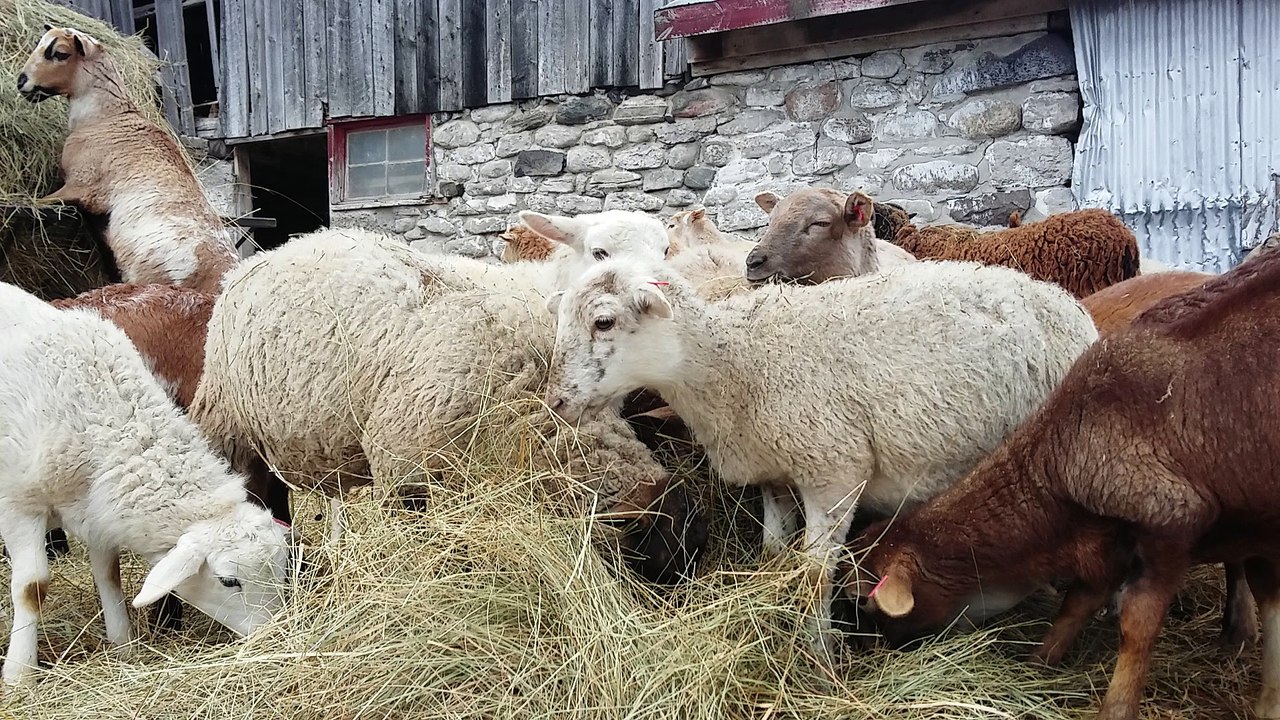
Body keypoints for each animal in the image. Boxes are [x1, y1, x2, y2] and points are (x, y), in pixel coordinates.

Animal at [0, 281, 292, 686]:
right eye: (229, 581)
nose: (273, 636)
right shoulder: (18, 506)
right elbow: (32, 589)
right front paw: (19, 674)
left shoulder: (96, 507)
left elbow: (110, 576)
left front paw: (123, 646)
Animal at [541, 256, 1099, 660]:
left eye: (604, 321)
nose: (556, 402)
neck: (734, 365)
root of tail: (1060, 298)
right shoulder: (774, 469)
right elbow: (773, 553)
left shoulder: (834, 471)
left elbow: (813, 576)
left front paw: (819, 651)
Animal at [842, 248, 1280, 720]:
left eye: (862, 599)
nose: (865, 653)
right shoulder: (1112, 536)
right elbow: (1079, 601)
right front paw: (1039, 661)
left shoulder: (1171, 522)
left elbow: (1136, 626)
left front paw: (1116, 707)